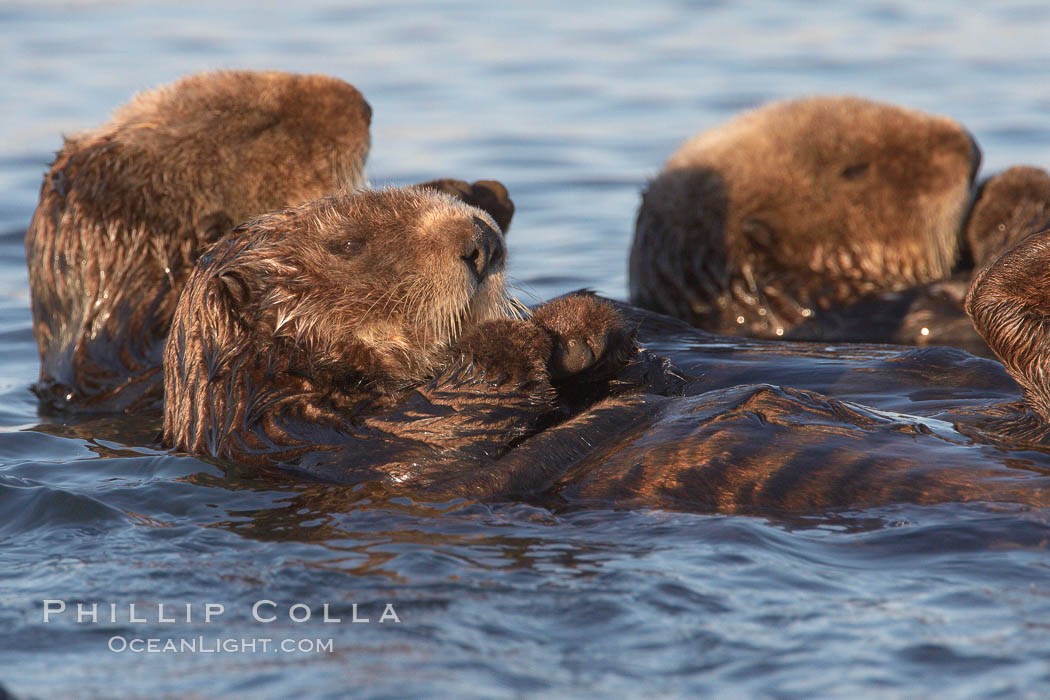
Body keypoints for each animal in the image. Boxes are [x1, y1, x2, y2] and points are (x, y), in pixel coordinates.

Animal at [161, 185, 1050, 514]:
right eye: (347, 243)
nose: (482, 239)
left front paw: (584, 325)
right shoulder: (328, 443)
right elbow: (442, 428)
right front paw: (524, 333)